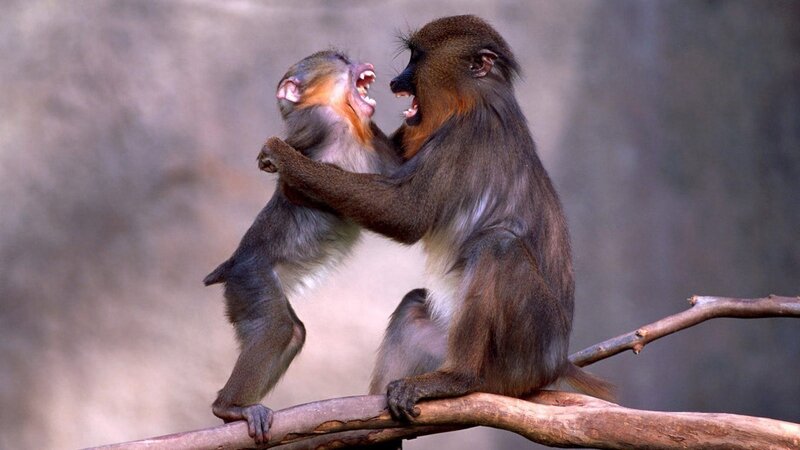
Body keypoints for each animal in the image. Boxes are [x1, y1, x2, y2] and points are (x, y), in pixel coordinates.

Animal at [203, 50, 400, 444]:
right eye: (339, 58)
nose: (361, 62)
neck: (348, 121)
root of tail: (232, 264)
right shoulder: (317, 125)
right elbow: (296, 182)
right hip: (253, 280)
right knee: (277, 328)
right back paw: (230, 407)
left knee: (293, 332)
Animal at [258, 15, 614, 433]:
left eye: (417, 57)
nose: (396, 81)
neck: (476, 97)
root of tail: (557, 363)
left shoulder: (463, 137)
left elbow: (407, 214)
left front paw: (285, 157)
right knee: (414, 306)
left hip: (523, 354)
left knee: (499, 247)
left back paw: (457, 380)